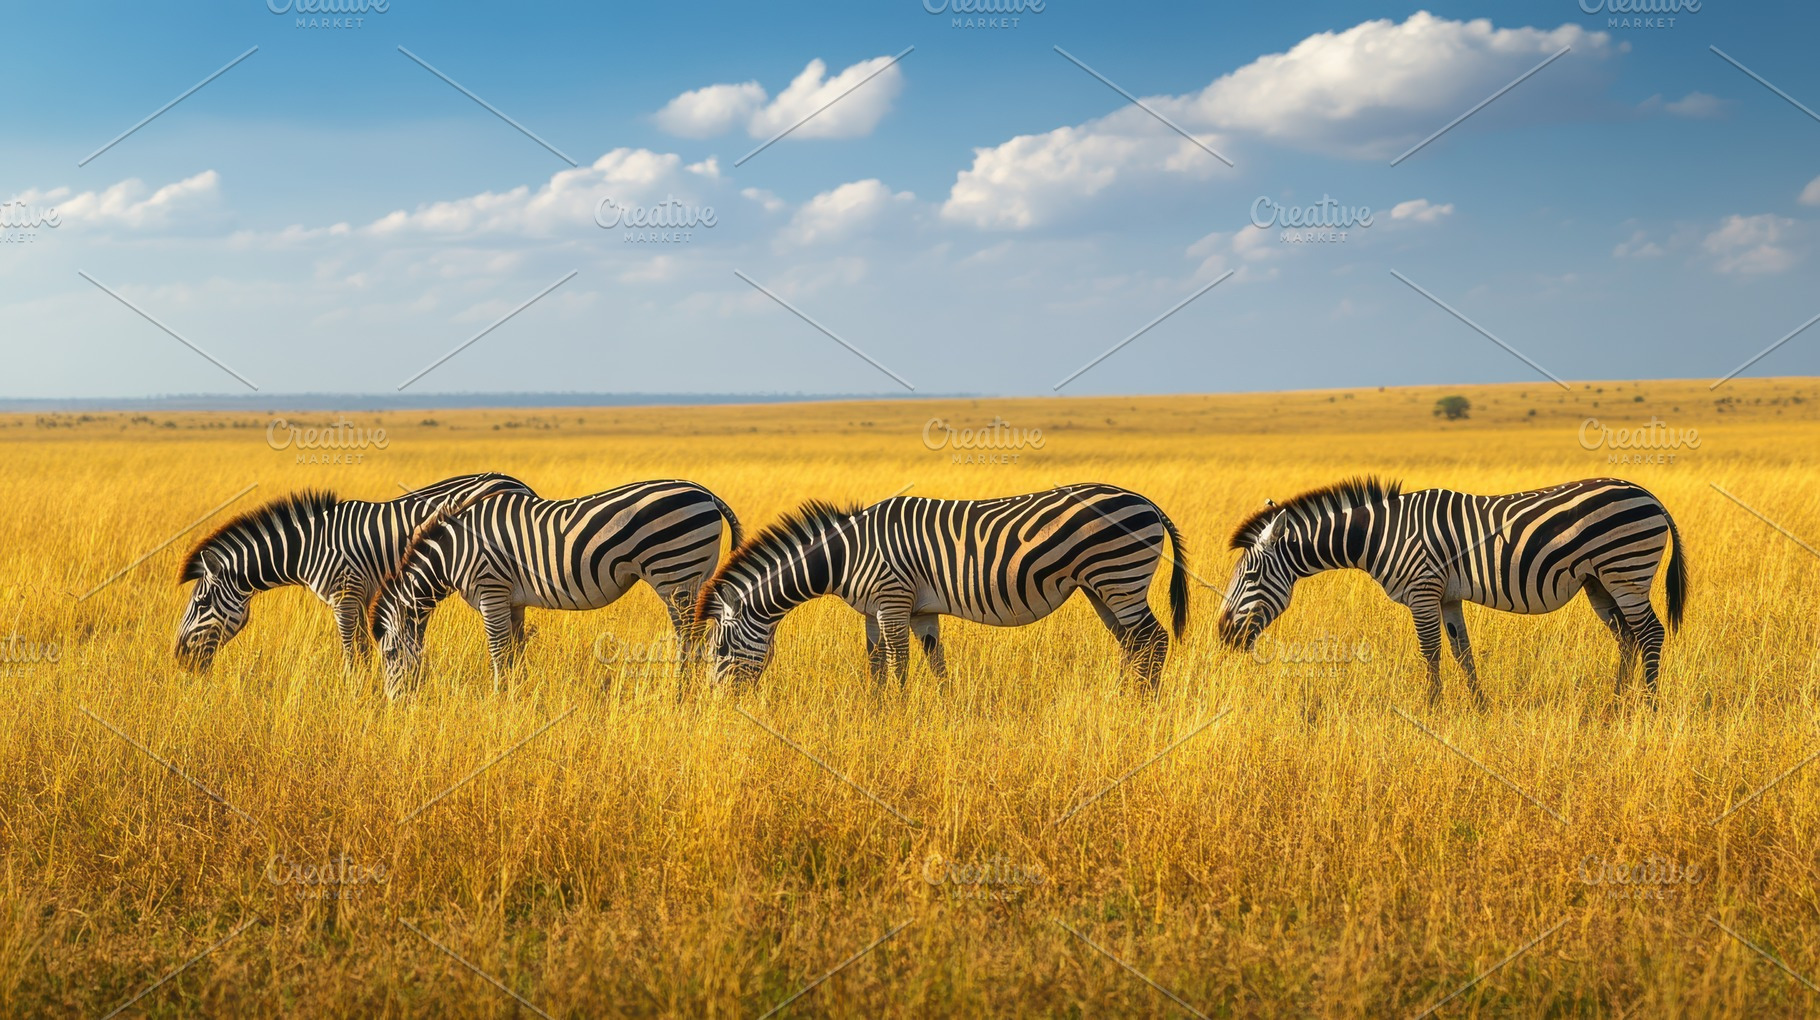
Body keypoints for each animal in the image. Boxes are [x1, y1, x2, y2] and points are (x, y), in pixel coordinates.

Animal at [174, 473, 535, 672]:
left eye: (201, 604)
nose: (179, 658)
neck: (309, 548)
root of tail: (519, 483)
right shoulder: (360, 596)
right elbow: (362, 649)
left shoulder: (344, 596)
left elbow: (350, 652)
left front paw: (353, 695)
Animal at [367, 479, 742, 697]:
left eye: (390, 654)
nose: (394, 704)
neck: (454, 550)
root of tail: (706, 493)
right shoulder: (512, 600)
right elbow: (515, 650)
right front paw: (517, 694)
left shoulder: (491, 590)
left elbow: (498, 651)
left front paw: (499, 698)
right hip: (697, 575)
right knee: (709, 635)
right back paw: (704, 687)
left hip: (676, 574)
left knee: (688, 639)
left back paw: (680, 694)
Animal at [693, 483, 1189, 689]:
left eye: (719, 651)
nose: (721, 708)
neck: (846, 555)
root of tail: (1145, 500)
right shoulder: (902, 610)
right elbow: (902, 663)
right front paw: (887, 712)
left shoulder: (893, 600)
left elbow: (899, 663)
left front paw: (899, 715)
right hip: (1101, 587)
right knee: (1133, 644)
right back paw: (1122, 698)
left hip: (1119, 576)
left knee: (1153, 640)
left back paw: (1143, 705)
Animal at [1216, 477, 1687, 705]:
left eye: (1250, 577)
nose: (1223, 634)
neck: (1380, 536)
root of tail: (1648, 494)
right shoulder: (1446, 595)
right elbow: (1462, 650)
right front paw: (1479, 707)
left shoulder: (1423, 589)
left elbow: (1430, 652)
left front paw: (1433, 708)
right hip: (1600, 582)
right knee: (1627, 638)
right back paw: (1615, 706)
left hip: (1625, 571)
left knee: (1649, 634)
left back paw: (1648, 709)